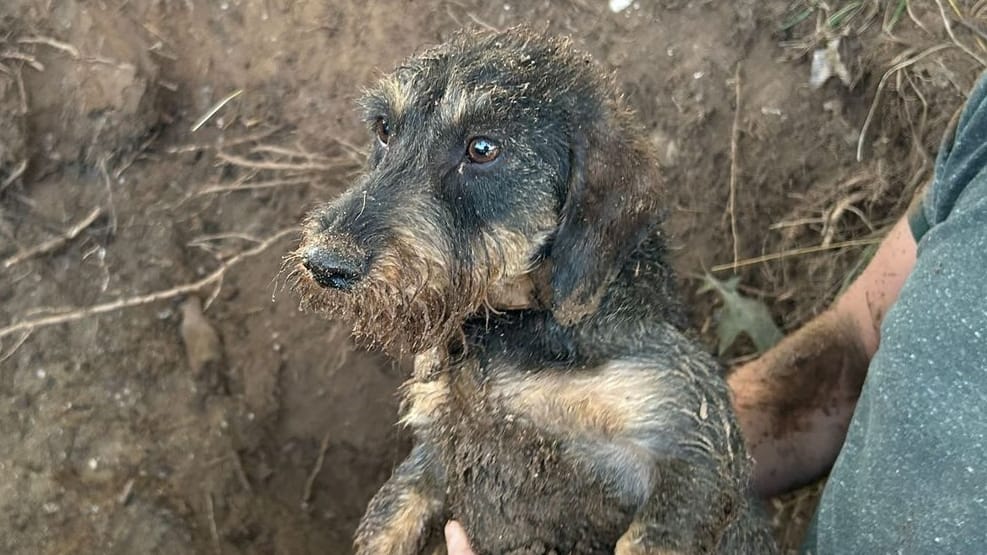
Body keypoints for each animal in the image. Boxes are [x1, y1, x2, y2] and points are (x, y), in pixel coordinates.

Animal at [294, 28, 780, 555]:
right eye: (384, 128)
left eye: (483, 147)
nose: (325, 264)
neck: (513, 332)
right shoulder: (433, 450)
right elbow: (388, 517)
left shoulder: (694, 443)